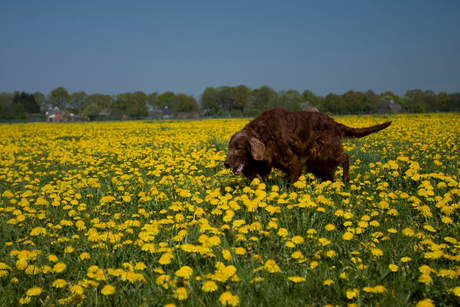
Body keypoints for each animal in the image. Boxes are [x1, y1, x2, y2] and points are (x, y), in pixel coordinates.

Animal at [225, 108, 390, 184]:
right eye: (229, 148)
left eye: (239, 148)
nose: (226, 163)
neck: (265, 132)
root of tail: (335, 123)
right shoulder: (263, 160)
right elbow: (254, 174)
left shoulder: (292, 161)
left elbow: (291, 179)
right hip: (317, 162)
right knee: (329, 174)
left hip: (325, 154)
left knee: (345, 157)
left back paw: (346, 179)